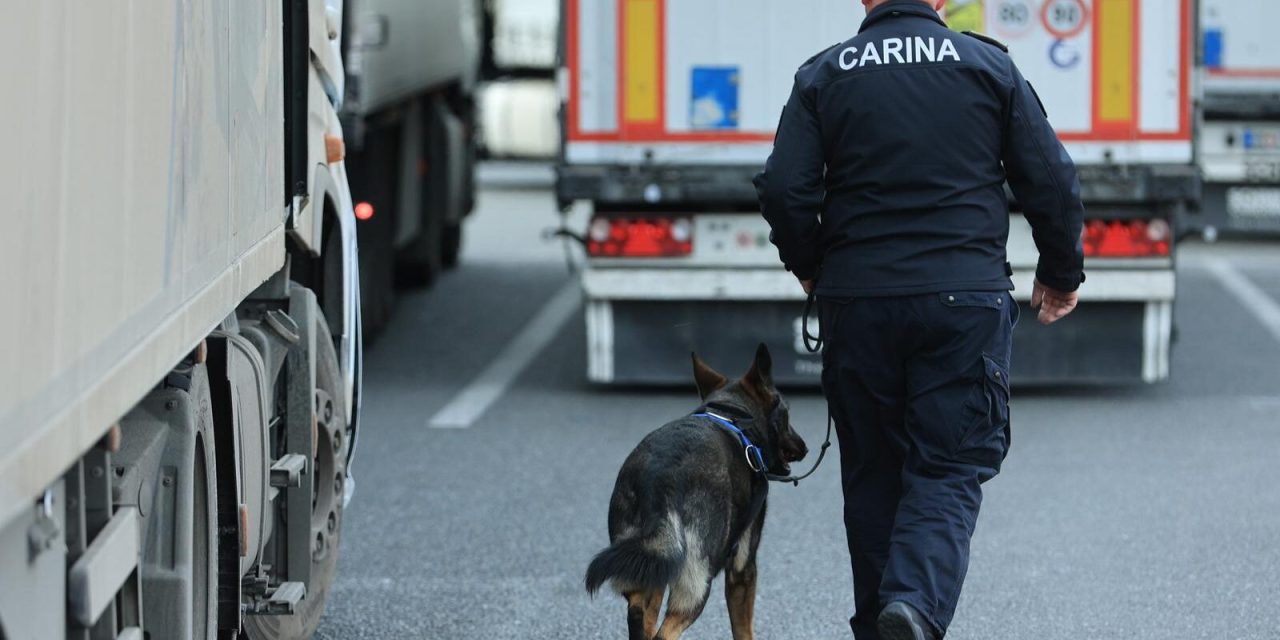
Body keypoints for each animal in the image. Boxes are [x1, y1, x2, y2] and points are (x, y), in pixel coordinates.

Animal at [583, 345, 803, 640]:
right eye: (787, 412)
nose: (804, 447)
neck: (732, 416)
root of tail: (659, 482)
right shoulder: (743, 567)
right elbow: (743, 629)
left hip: (647, 566)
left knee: (640, 615)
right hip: (697, 582)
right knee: (666, 631)